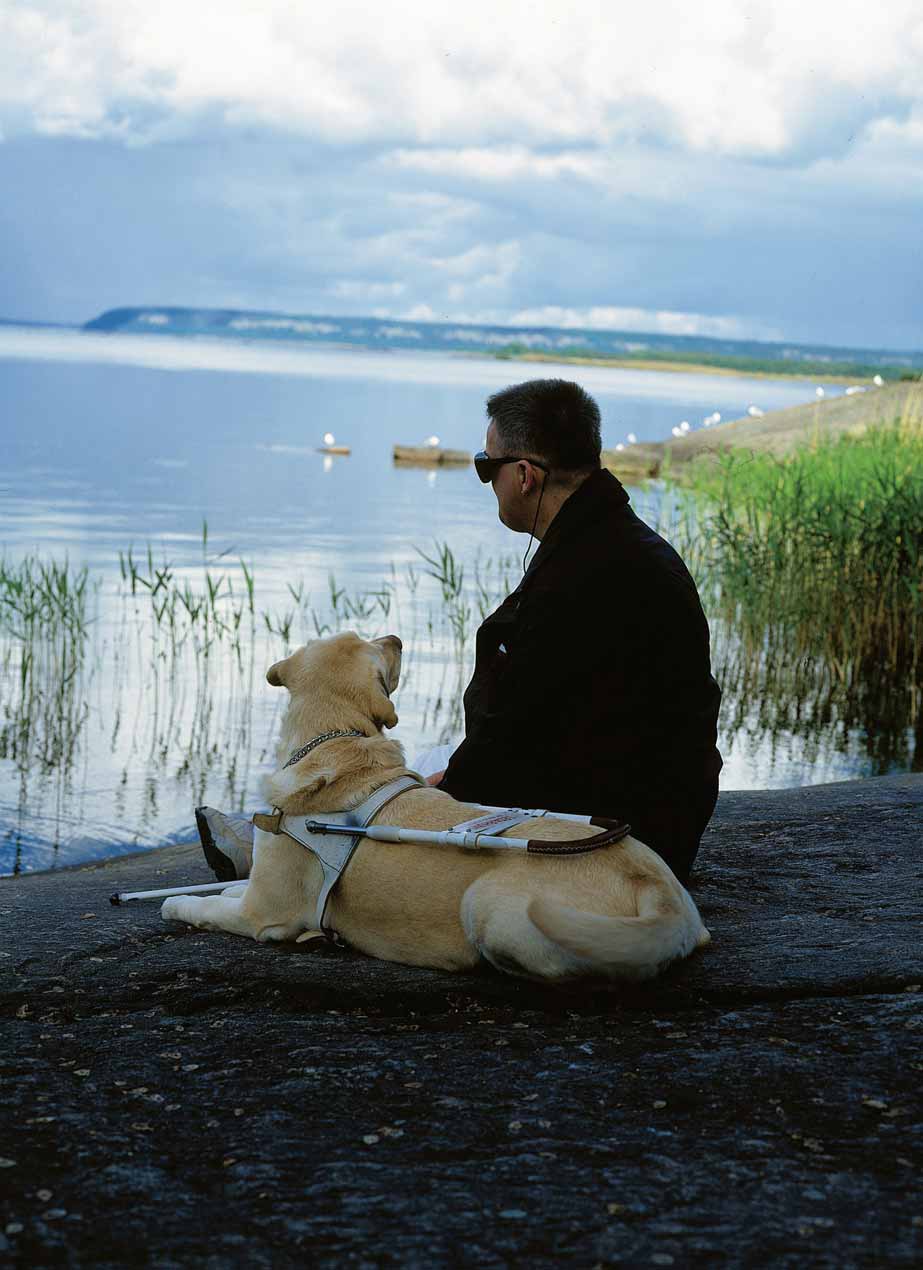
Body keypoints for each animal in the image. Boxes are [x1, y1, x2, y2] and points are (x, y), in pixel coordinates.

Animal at [162, 635, 710, 980]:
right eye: (370, 643)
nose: (397, 636)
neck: (335, 741)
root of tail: (660, 892)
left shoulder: (263, 913)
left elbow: (205, 905)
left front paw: (178, 904)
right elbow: (229, 887)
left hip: (490, 905)